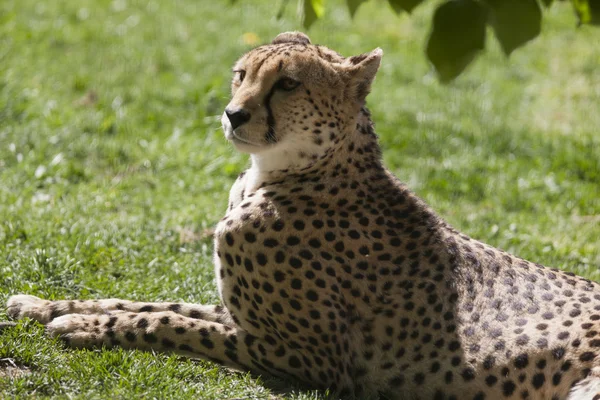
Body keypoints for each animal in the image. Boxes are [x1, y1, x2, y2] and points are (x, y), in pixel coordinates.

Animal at [5, 32, 600, 400]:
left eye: (288, 84)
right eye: (240, 75)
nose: (233, 114)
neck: (277, 175)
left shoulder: (312, 360)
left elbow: (170, 323)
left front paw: (83, 327)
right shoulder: (247, 319)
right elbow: (155, 302)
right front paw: (44, 306)